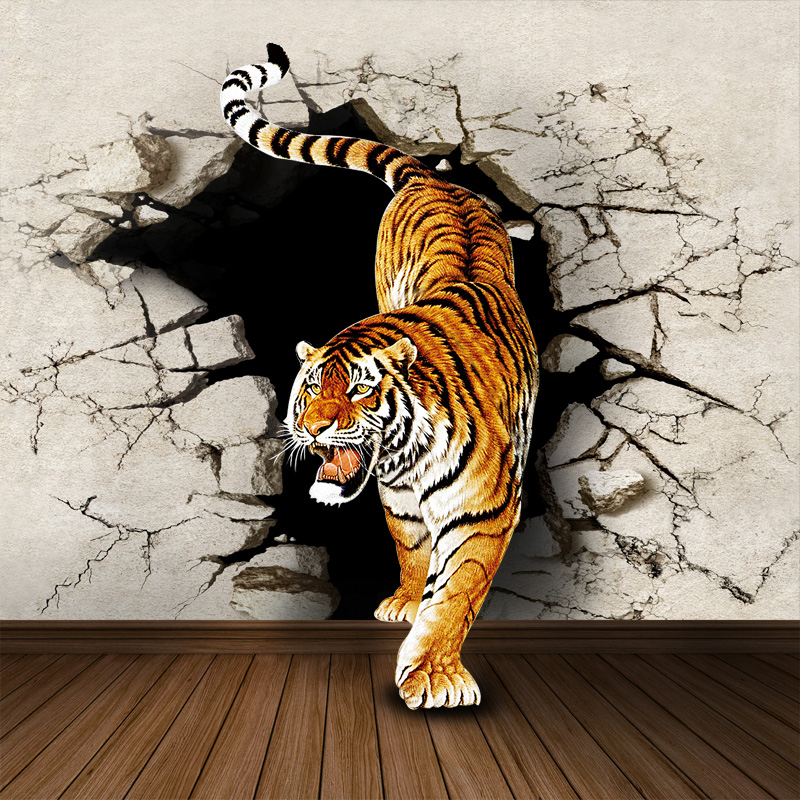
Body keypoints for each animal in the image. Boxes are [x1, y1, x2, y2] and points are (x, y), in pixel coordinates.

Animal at [221, 44, 538, 709]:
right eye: (310, 390)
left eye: (360, 390)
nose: (314, 431)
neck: (407, 459)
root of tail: (433, 177)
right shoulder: (398, 499)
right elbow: (413, 551)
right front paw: (405, 603)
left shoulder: (485, 511)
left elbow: (458, 591)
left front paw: (434, 675)